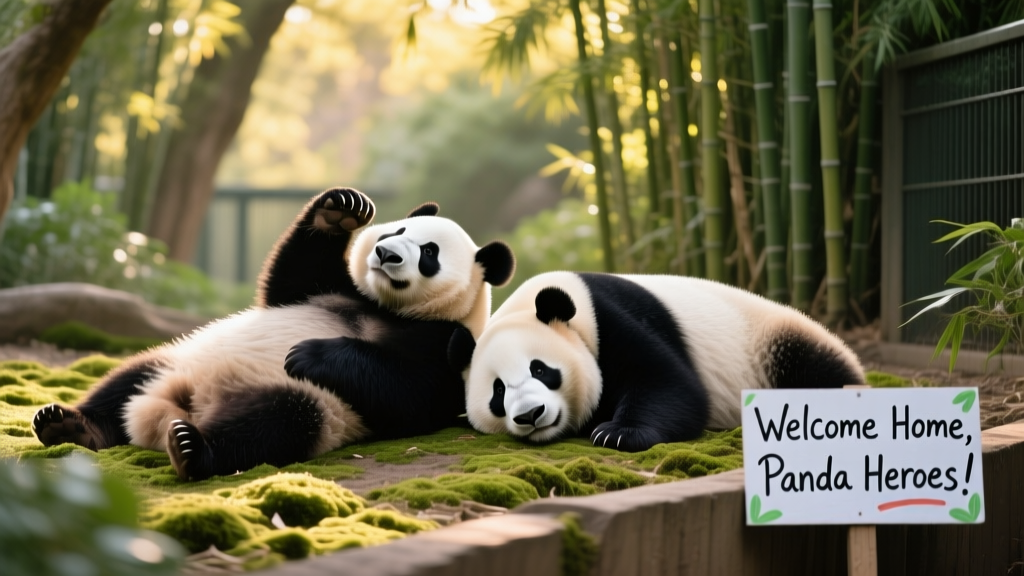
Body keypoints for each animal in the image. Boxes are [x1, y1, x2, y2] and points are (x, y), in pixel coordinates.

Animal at [32, 187, 515, 480]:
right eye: (398, 230)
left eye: (429, 253)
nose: (384, 253)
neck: (389, 309)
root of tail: (180, 404)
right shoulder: (335, 290)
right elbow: (289, 278)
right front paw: (341, 210)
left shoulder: (448, 348)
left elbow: (407, 394)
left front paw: (310, 354)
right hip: (179, 357)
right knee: (127, 380)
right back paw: (70, 425)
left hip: (308, 404)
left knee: (274, 425)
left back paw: (191, 450)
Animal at [449, 271, 863, 452]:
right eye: (498, 392)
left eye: (540, 369)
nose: (530, 415)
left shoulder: (611, 319)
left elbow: (666, 382)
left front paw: (617, 433)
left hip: (775, 345)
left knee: (814, 368)